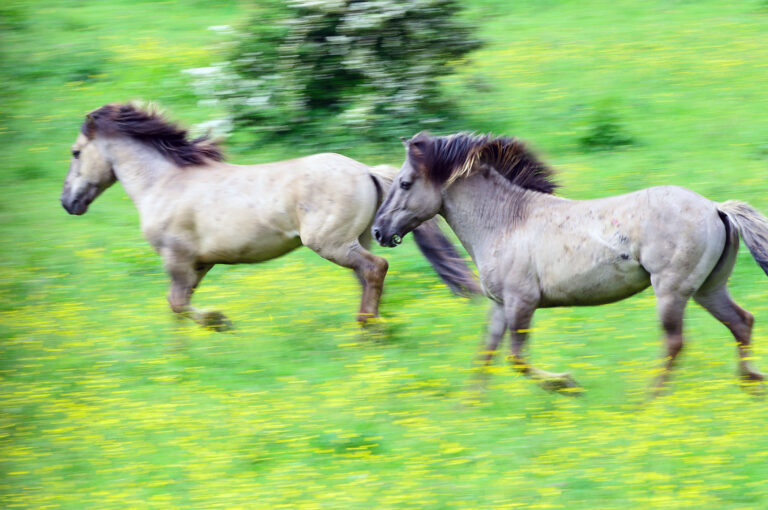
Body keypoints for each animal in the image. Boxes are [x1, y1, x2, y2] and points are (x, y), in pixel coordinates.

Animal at [61, 104, 480, 330]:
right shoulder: (199, 263)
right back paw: (371, 327)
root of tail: (366, 170)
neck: (165, 183)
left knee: (376, 269)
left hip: (331, 243)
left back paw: (368, 327)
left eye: (76, 152)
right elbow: (176, 304)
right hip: (355, 241)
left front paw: (219, 322)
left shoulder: (176, 257)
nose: (68, 202)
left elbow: (178, 304)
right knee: (367, 277)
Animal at [376, 132, 768, 394]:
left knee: (675, 343)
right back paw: (751, 383)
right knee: (742, 322)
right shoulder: (501, 305)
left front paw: (567, 383)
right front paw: (470, 408)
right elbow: (485, 354)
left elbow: (516, 358)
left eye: (405, 183)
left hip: (671, 290)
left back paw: (647, 402)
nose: (380, 230)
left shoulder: (522, 302)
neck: (506, 221)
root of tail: (716, 208)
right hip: (707, 289)